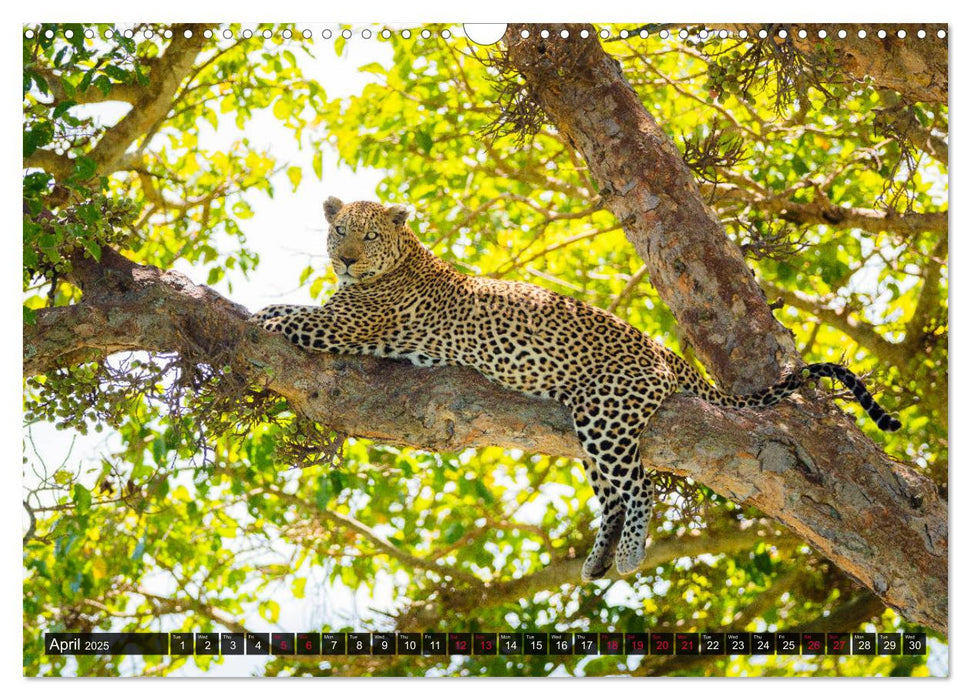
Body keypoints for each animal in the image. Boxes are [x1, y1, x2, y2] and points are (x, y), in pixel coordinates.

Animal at [252, 197, 904, 580]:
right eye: (339, 232)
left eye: (365, 236)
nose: (346, 259)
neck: (401, 259)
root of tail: (666, 351)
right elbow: (291, 308)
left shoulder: (343, 325)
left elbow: (286, 314)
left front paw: (255, 315)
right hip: (590, 430)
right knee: (615, 494)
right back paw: (597, 561)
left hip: (605, 415)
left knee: (640, 488)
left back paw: (630, 554)